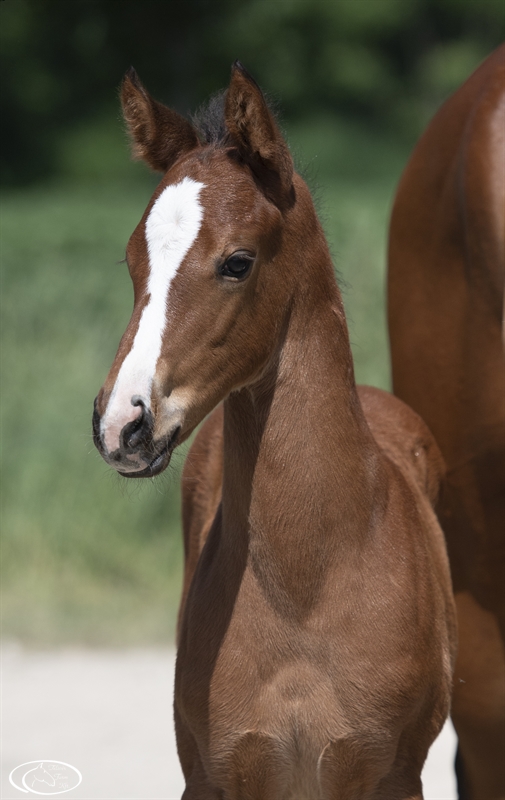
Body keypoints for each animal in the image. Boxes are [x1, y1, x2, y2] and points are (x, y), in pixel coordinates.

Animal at [92, 64, 454, 800]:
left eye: (238, 261)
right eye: (133, 261)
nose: (123, 424)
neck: (305, 591)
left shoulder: (388, 774)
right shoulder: (216, 774)